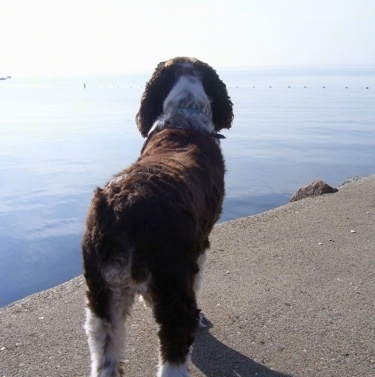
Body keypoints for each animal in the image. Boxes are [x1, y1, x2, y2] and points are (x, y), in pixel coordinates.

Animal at [82, 56, 234, 376]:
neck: (183, 119)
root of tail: (121, 209)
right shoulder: (200, 247)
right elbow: (198, 279)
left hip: (101, 298)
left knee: (105, 358)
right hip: (174, 287)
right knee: (175, 347)